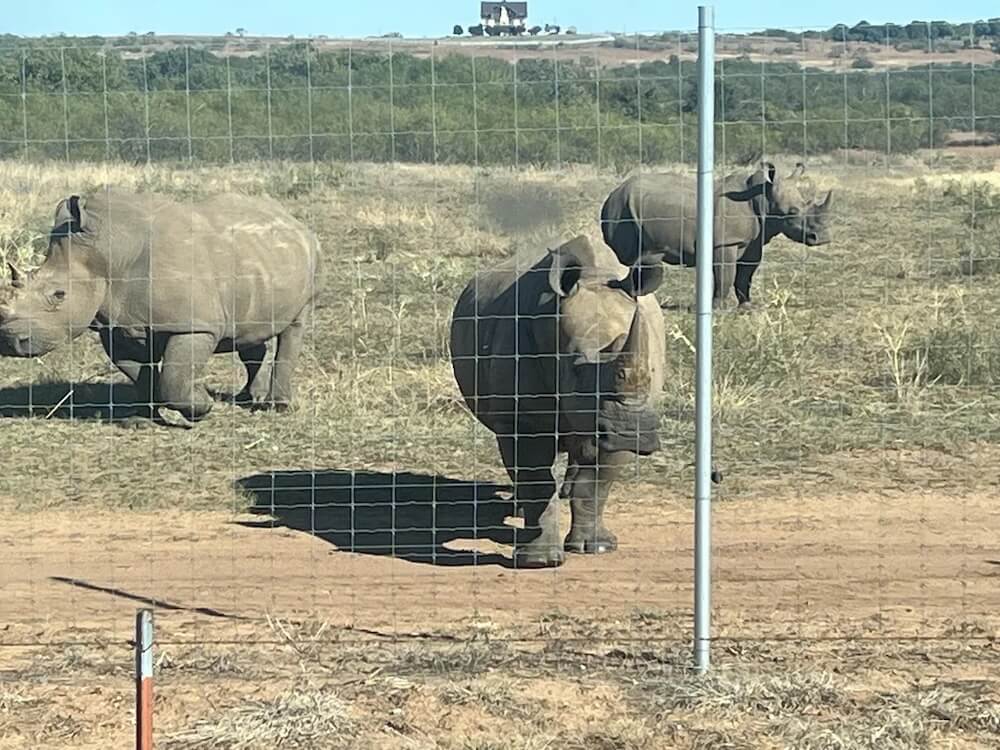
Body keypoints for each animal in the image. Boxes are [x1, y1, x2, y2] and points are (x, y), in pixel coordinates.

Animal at [0, 189, 322, 424]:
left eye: (59, 295)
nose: (11, 341)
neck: (107, 252)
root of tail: (293, 220)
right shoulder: (117, 326)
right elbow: (141, 374)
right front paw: (141, 420)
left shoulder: (193, 325)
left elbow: (174, 380)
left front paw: (202, 407)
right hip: (257, 261)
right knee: (248, 333)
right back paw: (246, 398)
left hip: (310, 259)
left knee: (295, 326)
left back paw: (277, 407)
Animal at [450, 235, 667, 568]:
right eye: (576, 370)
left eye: (650, 371)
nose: (631, 433)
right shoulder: (520, 418)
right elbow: (536, 480)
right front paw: (539, 561)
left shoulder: (628, 412)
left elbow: (596, 483)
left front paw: (596, 548)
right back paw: (519, 510)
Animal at [600, 161, 833, 309]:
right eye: (792, 213)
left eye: (807, 203)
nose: (821, 238)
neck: (762, 198)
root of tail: (612, 193)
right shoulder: (725, 243)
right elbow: (726, 275)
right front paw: (718, 309)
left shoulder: (752, 241)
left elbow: (744, 276)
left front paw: (747, 307)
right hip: (622, 212)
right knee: (629, 258)